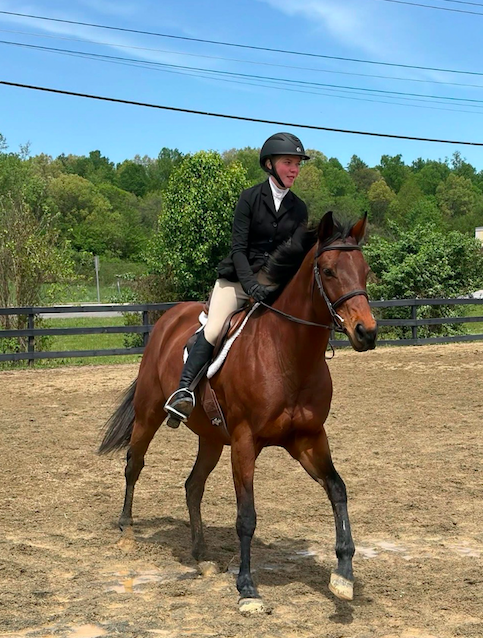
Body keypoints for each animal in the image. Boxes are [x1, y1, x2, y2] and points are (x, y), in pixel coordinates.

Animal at [99, 211, 377, 613]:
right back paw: (127, 532)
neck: (288, 354)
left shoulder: (309, 439)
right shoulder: (246, 441)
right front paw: (247, 588)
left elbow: (337, 490)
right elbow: (246, 515)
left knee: (193, 485)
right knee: (134, 464)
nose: (366, 332)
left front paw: (343, 575)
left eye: (365, 270)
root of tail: (167, 319)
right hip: (149, 413)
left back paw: (200, 555)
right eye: (327, 271)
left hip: (212, 437)